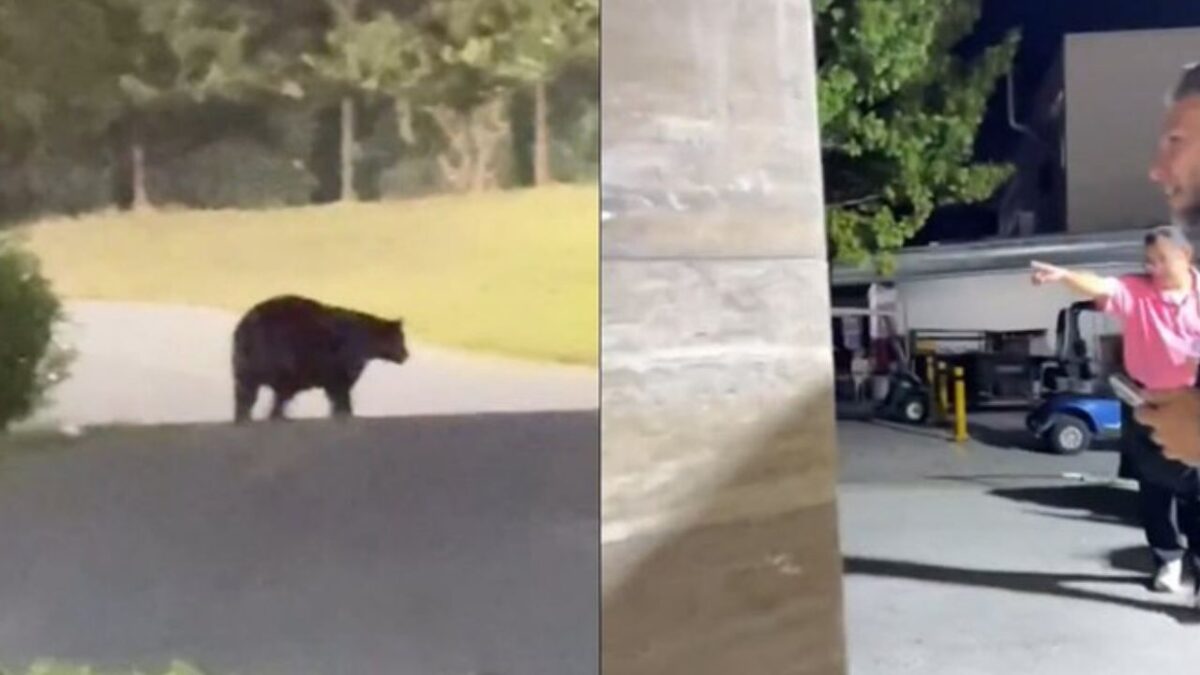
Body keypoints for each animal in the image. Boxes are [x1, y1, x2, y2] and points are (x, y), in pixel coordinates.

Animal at [231, 293, 410, 420]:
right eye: (401, 339)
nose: (406, 355)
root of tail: (246, 327)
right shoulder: (340, 361)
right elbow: (341, 390)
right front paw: (345, 413)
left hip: (247, 363)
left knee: (248, 393)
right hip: (283, 355)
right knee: (274, 391)